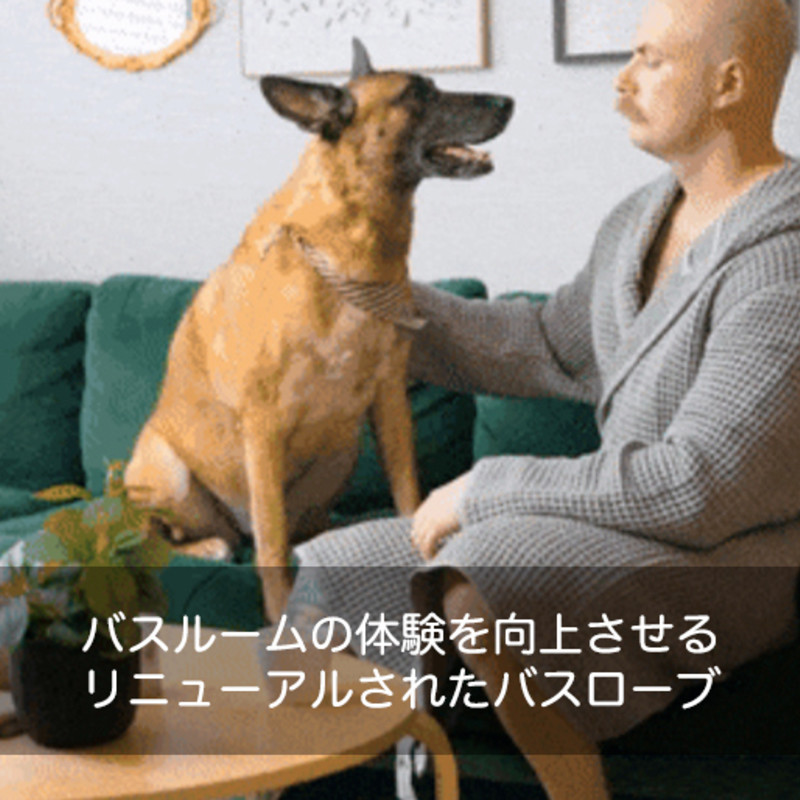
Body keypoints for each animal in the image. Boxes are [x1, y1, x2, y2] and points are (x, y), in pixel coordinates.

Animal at [123, 39, 514, 623]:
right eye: (417, 94)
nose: (509, 101)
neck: (355, 246)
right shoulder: (261, 427)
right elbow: (270, 549)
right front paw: (278, 611)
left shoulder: (389, 402)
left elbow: (407, 493)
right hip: (166, 469)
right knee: (159, 533)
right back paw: (208, 543)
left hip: (342, 448)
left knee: (297, 527)